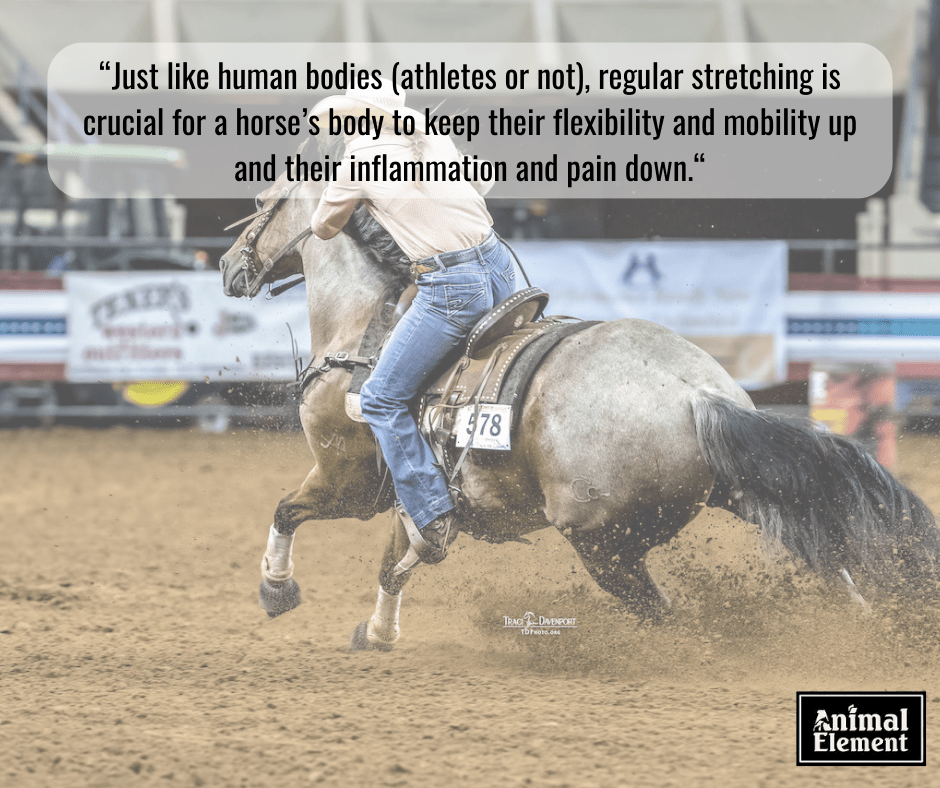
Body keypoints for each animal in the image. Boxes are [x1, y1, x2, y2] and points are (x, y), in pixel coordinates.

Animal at [218, 164, 940, 652]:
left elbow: (287, 511)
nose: (228, 267)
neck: (364, 328)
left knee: (667, 617)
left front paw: (277, 590)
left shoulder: (345, 477)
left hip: (605, 546)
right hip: (745, 493)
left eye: (261, 203)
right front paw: (377, 632)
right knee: (838, 563)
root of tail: (695, 393)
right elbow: (398, 560)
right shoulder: (411, 490)